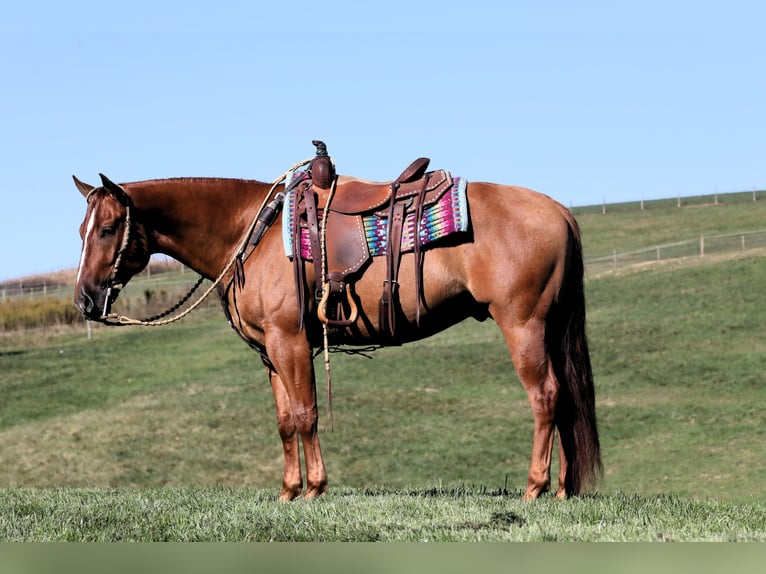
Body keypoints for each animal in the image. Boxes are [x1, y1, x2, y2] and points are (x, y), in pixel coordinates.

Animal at [72, 159, 604, 504]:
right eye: (81, 231)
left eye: (108, 229)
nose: (85, 300)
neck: (252, 231)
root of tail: (559, 210)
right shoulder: (269, 352)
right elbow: (285, 422)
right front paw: (288, 492)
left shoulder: (290, 341)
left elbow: (306, 414)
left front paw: (315, 491)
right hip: (548, 327)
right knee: (564, 398)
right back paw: (562, 490)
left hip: (523, 324)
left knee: (545, 397)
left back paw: (534, 488)